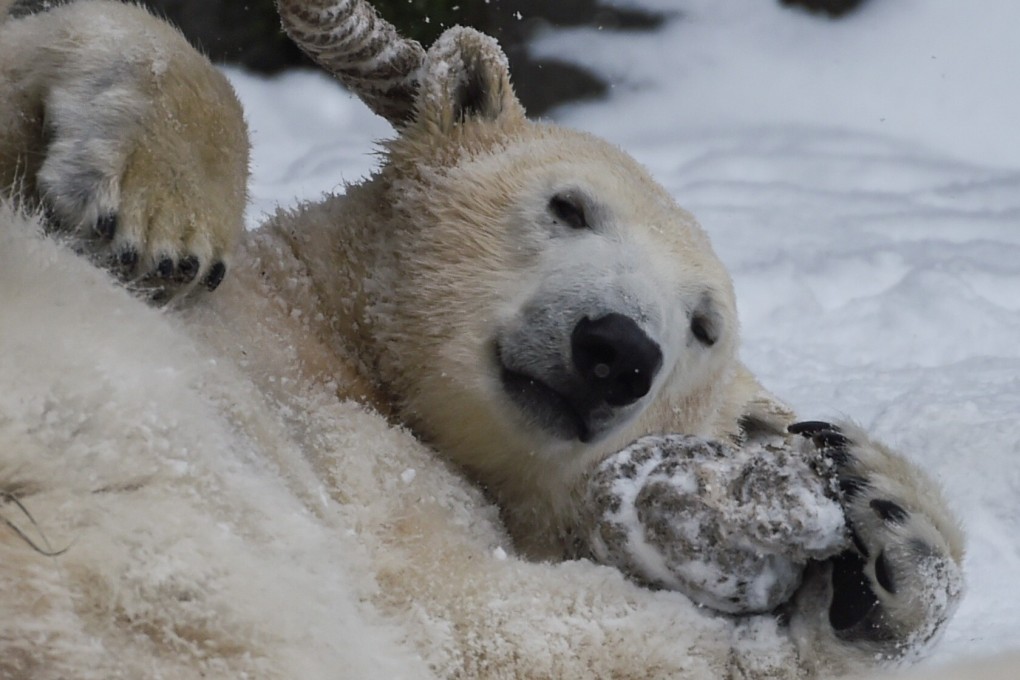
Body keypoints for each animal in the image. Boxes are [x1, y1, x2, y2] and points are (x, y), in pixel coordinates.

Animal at [0, 0, 968, 678]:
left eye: (704, 326)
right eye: (568, 205)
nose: (617, 350)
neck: (337, 335)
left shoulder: (384, 483)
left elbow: (486, 618)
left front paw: (888, 527)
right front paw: (160, 219)